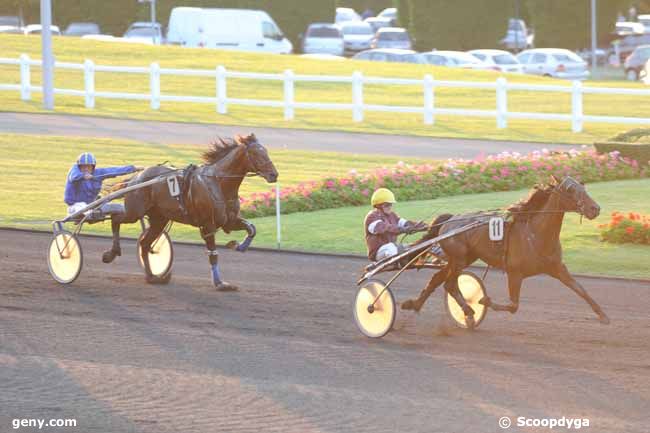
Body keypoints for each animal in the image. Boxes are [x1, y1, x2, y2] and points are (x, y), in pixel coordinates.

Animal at [101, 133, 276, 290]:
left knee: (144, 244)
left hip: (159, 219)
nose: (274, 174)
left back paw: (152, 276)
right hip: (134, 212)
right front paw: (219, 283)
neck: (219, 183)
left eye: (266, 151)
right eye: (256, 153)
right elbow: (213, 254)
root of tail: (135, 178)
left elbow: (252, 228)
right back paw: (111, 254)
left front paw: (238, 245)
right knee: (116, 219)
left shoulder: (229, 221)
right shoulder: (207, 225)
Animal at [400, 176, 608, 328]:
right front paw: (484, 300)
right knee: (449, 284)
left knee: (438, 279)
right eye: (570, 190)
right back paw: (468, 311)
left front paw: (603, 315)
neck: (536, 234)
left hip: (463, 258)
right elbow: (513, 305)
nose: (595, 208)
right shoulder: (515, 273)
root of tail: (451, 219)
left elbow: (580, 289)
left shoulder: (557, 268)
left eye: (583, 186)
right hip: (458, 259)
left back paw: (415, 304)